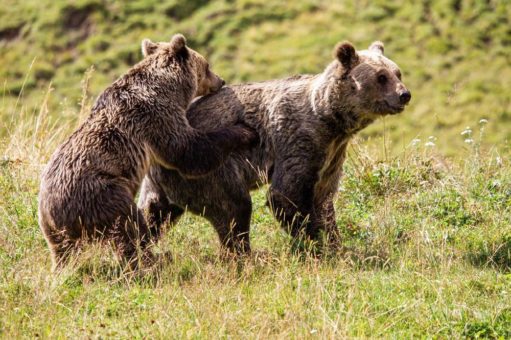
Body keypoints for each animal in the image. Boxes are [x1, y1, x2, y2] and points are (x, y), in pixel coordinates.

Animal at [38, 33, 258, 270]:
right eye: (207, 66)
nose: (221, 80)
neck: (169, 88)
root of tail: (53, 214)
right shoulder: (156, 116)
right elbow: (187, 151)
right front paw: (244, 131)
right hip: (100, 193)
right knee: (128, 226)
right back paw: (155, 258)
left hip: (55, 229)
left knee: (66, 250)